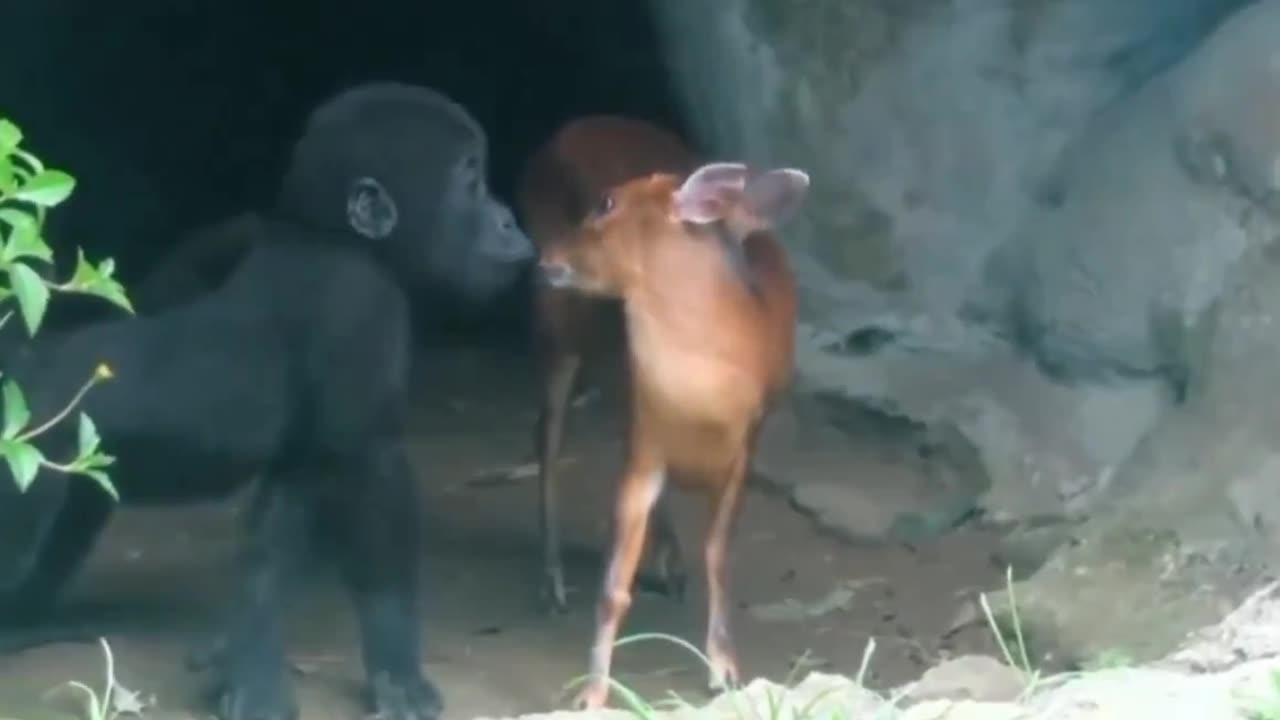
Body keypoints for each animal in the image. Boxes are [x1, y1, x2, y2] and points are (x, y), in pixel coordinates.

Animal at [0, 81, 532, 717]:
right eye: (471, 181)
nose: (507, 220)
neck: (323, 236)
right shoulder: (365, 306)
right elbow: (369, 473)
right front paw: (396, 666)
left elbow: (286, 518)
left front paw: (245, 665)